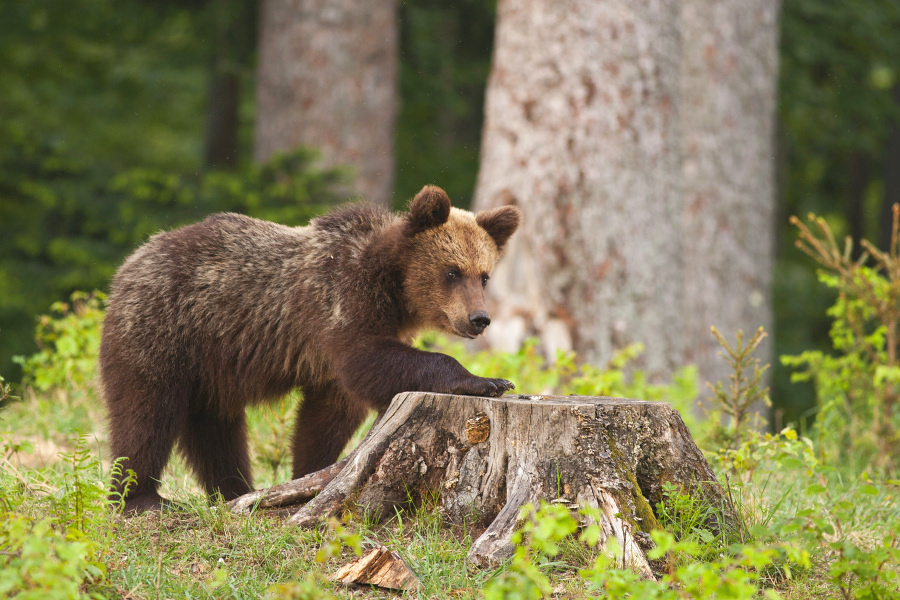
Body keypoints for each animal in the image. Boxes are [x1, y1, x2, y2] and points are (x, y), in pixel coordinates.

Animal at [98, 185, 520, 512]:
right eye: (452, 271)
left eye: (484, 275)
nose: (479, 318)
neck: (392, 290)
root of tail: (133, 259)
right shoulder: (338, 302)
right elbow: (366, 362)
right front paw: (487, 380)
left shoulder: (333, 355)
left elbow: (327, 416)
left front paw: (307, 474)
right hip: (163, 328)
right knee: (146, 410)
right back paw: (141, 498)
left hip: (212, 365)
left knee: (215, 429)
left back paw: (235, 490)